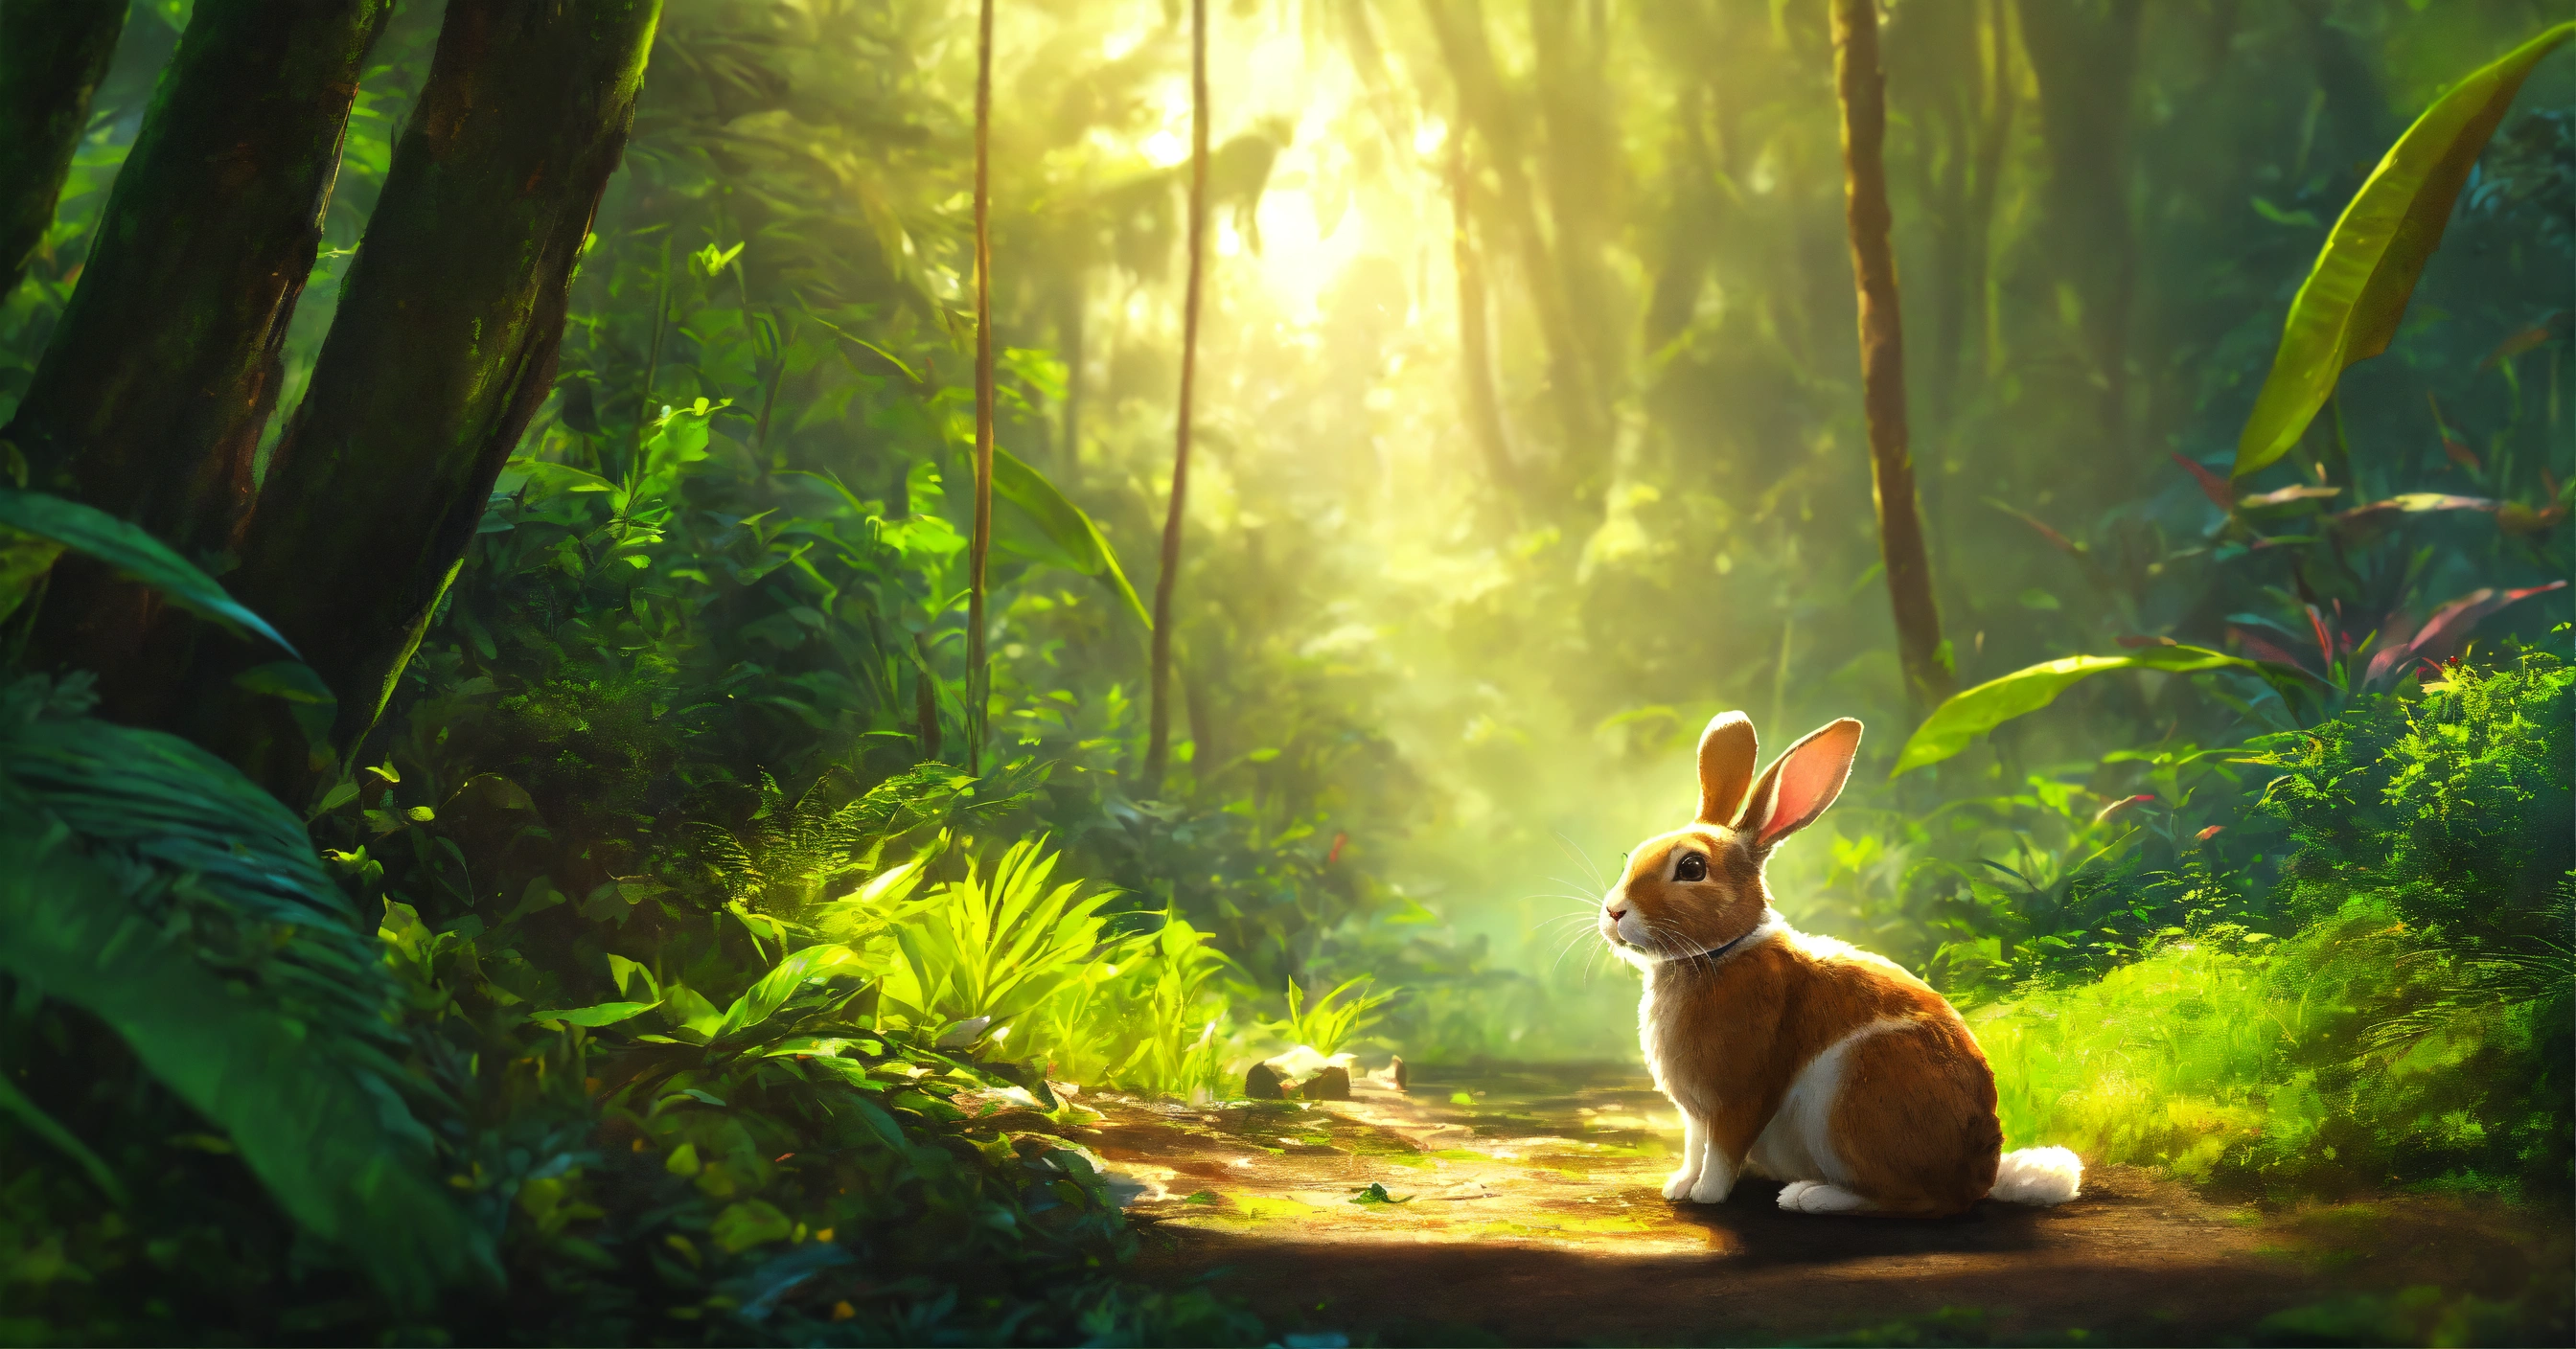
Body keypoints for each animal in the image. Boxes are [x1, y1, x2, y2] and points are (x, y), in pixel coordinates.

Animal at [1597, 711, 2082, 1217]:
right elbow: (1695, 1149)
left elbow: (1722, 1153)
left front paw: (1707, 1195)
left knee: (1912, 1200)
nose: (1614, 912)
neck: (1716, 955)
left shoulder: (1739, 1097)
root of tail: (1982, 1175)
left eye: (1691, 868)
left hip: (1853, 1102)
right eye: (1633, 855)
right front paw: (1679, 1187)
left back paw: (1808, 1195)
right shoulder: (1695, 1113)